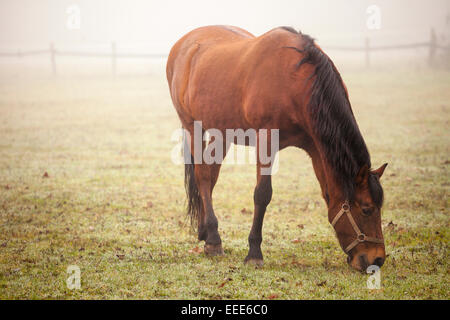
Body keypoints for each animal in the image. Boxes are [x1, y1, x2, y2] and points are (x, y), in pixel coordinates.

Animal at [167, 25, 388, 272]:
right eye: (367, 208)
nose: (377, 259)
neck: (294, 80)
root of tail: (184, 44)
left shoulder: (314, 146)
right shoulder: (266, 141)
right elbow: (262, 194)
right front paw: (254, 252)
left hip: (221, 131)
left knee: (210, 175)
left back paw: (205, 232)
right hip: (192, 126)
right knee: (203, 176)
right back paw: (214, 240)